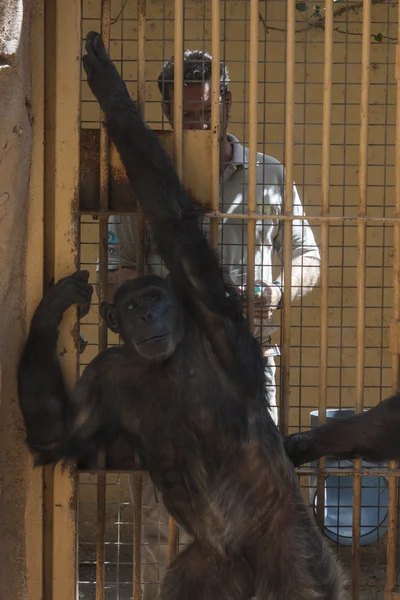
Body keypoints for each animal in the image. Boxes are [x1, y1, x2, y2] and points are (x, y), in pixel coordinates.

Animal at [16, 31, 400, 600]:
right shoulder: (104, 376)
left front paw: (107, 85)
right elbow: (59, 431)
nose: (148, 318)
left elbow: (172, 218)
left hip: (294, 552)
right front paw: (53, 304)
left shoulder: (213, 312)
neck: (168, 360)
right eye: (132, 306)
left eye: (156, 299)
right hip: (203, 573)